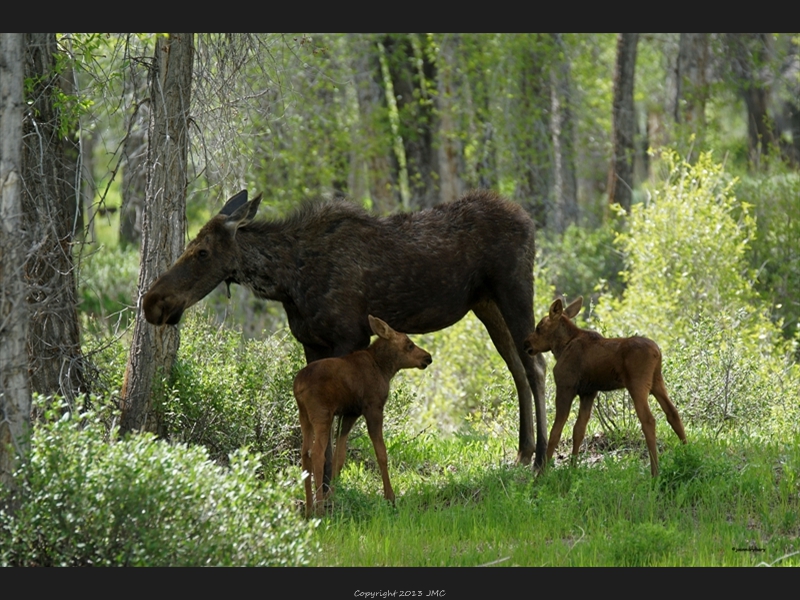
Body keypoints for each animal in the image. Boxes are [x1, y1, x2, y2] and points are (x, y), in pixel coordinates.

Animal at [142, 191, 552, 468]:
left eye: (202, 252)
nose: (153, 302)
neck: (287, 283)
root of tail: (530, 220)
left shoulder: (350, 336)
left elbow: (337, 419)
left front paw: (329, 488)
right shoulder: (311, 343)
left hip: (514, 289)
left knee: (536, 366)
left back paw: (543, 459)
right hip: (486, 303)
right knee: (516, 369)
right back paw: (523, 452)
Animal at [292, 314, 432, 516]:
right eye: (409, 344)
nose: (428, 357)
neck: (385, 368)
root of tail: (298, 386)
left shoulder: (349, 414)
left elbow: (340, 456)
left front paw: (332, 496)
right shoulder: (373, 407)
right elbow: (381, 452)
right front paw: (390, 497)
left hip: (304, 416)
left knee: (304, 454)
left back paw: (310, 508)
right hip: (322, 414)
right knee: (317, 453)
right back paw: (319, 509)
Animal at [524, 296, 688, 478]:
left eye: (539, 328)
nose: (526, 343)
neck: (561, 347)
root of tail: (657, 352)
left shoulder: (565, 387)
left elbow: (555, 432)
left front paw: (541, 475)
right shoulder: (588, 392)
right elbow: (578, 430)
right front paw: (572, 469)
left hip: (637, 384)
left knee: (648, 420)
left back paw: (654, 472)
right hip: (657, 382)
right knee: (673, 413)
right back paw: (688, 455)